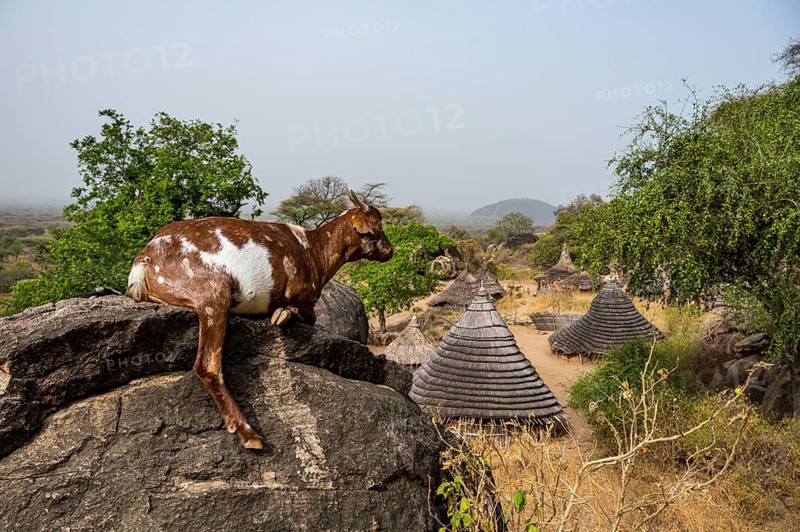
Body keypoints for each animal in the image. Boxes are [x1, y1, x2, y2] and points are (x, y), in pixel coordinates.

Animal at [126, 190, 393, 449]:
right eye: (378, 228)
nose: (390, 251)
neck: (314, 249)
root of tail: (147, 257)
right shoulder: (302, 295)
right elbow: (307, 314)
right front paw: (282, 314)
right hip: (213, 292)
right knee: (207, 365)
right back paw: (248, 433)